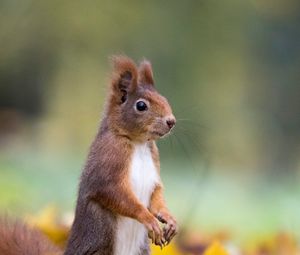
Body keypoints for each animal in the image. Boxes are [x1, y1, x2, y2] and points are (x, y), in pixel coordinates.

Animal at [0, 55, 178, 255]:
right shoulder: (108, 161)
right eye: (141, 105)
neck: (138, 144)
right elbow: (115, 193)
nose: (171, 121)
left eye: (163, 98)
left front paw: (169, 219)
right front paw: (149, 219)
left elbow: (157, 194)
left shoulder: (154, 164)